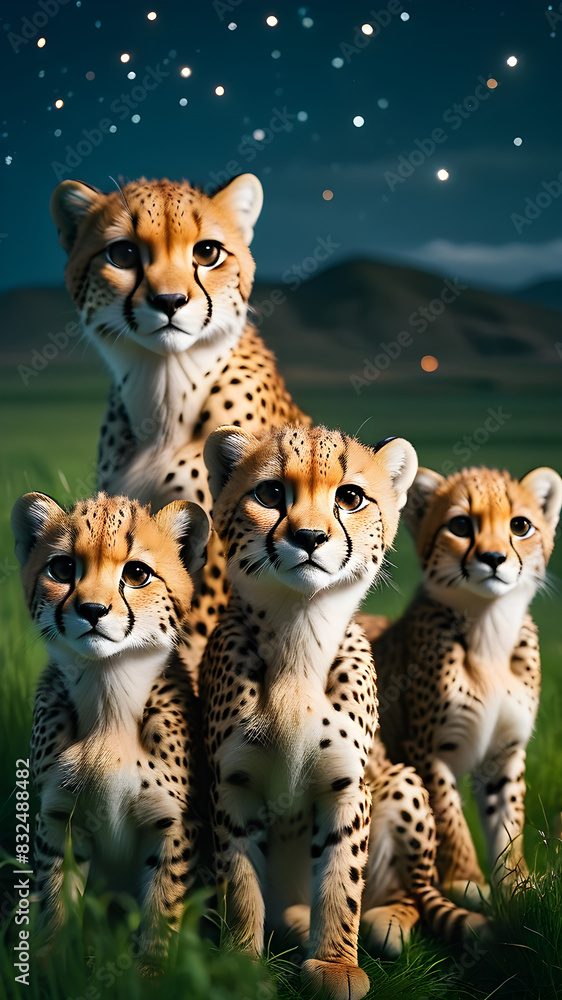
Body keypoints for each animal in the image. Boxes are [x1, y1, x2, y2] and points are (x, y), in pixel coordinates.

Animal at [11, 490, 210, 971]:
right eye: (63, 569)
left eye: (136, 573)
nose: (92, 610)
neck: (109, 698)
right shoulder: (58, 816)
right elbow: (55, 898)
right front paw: (50, 966)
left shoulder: (172, 825)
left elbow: (161, 906)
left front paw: (153, 972)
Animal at [199, 424, 487, 1000]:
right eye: (270, 493)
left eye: (350, 497)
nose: (310, 537)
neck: (298, 634)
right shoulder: (232, 787)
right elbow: (240, 885)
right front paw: (240, 962)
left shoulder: (349, 787)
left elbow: (341, 880)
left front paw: (335, 964)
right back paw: (293, 922)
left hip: (401, 782)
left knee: (414, 894)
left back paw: (386, 923)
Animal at [373, 464, 562, 908]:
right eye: (460, 525)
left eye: (520, 525)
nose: (493, 559)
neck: (489, 631)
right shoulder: (427, 752)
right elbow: (449, 819)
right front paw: (466, 882)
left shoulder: (502, 755)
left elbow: (508, 823)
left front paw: (516, 883)